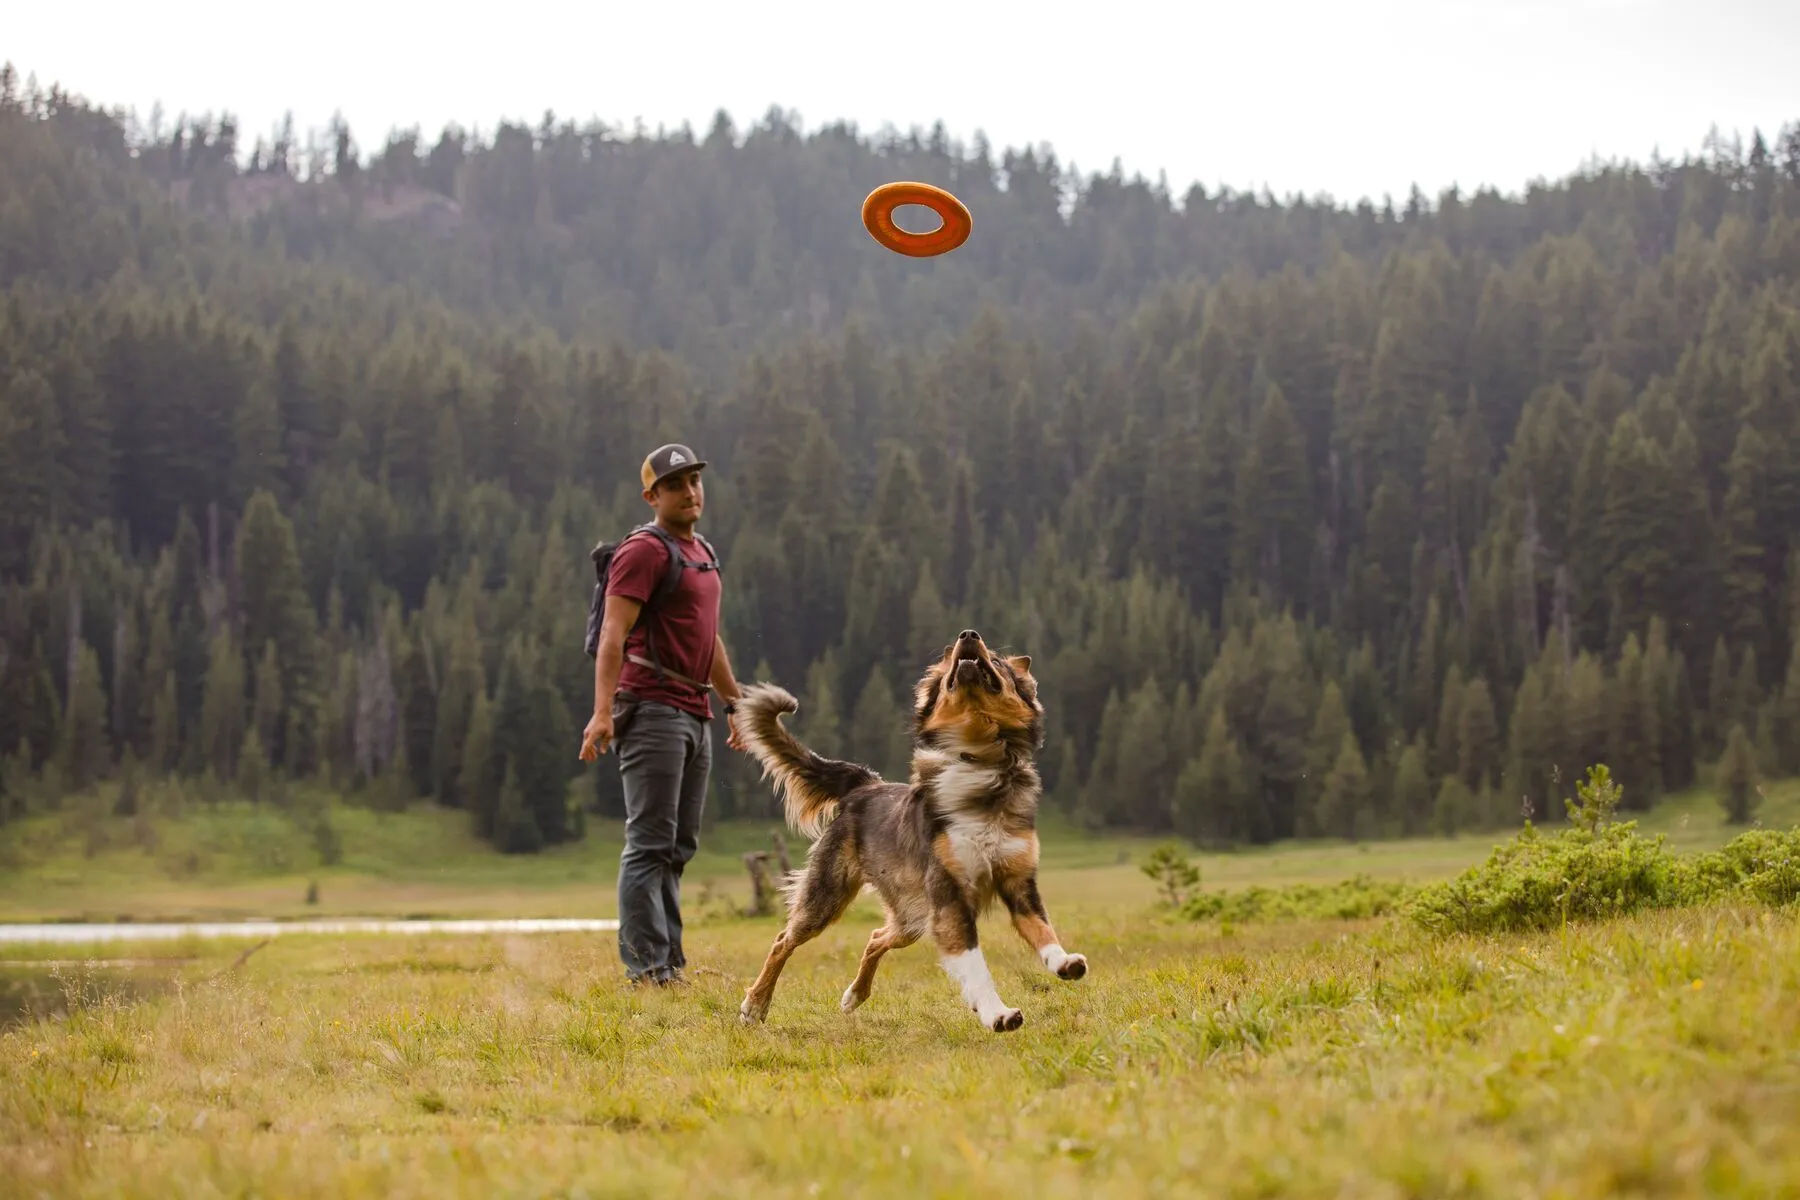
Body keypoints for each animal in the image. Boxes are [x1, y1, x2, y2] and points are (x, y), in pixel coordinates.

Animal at [730, 629, 1080, 1036]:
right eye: (952, 659)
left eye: (995, 659)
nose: (968, 634)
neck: (981, 764)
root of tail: (865, 784)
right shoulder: (948, 897)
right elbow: (976, 965)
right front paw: (997, 1014)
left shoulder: (1018, 882)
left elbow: (1042, 930)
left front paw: (1064, 963)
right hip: (829, 896)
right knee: (783, 940)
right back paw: (755, 1005)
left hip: (912, 914)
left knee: (875, 937)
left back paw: (854, 995)